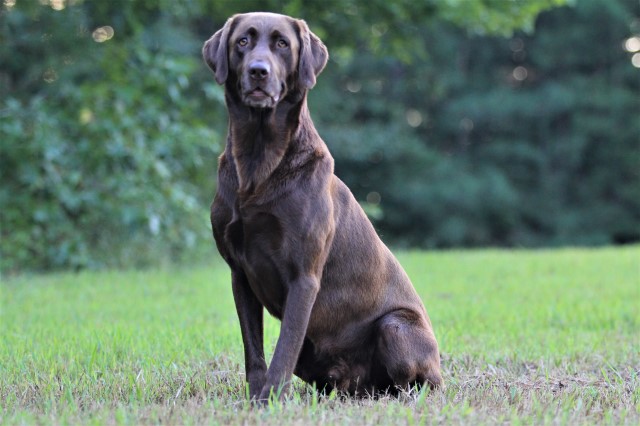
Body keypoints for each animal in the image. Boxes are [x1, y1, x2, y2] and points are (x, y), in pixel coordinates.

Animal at [202, 11, 442, 402]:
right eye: (243, 41)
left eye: (282, 43)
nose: (258, 71)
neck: (258, 160)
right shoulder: (239, 273)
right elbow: (254, 349)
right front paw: (256, 398)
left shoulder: (304, 276)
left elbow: (284, 347)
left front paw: (270, 401)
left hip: (396, 327)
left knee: (412, 384)